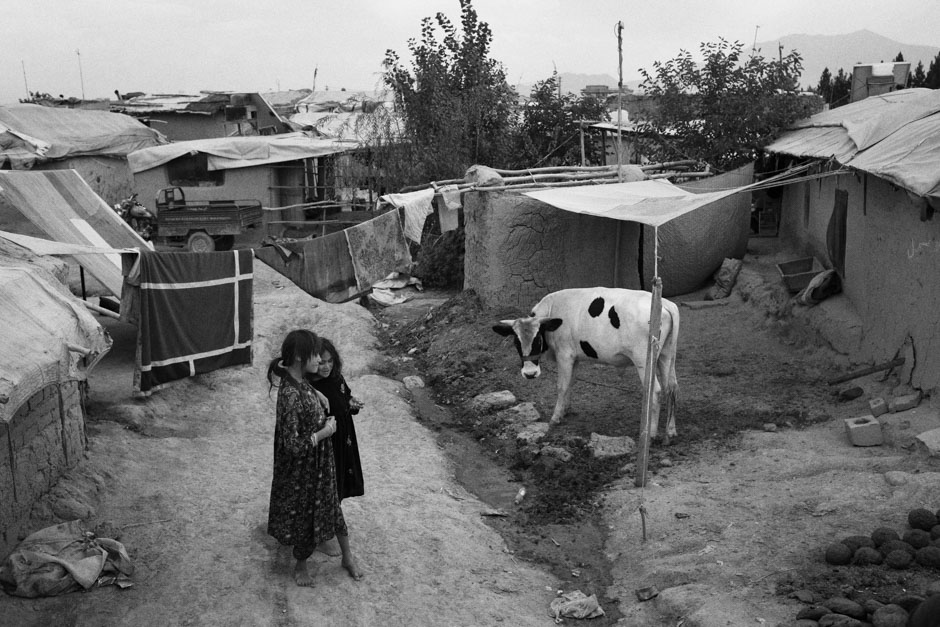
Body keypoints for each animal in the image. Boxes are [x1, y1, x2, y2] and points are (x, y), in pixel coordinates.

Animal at [496, 288, 680, 442]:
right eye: (516, 342)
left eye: (538, 339)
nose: (530, 373)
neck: (552, 310)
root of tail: (666, 304)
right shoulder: (574, 357)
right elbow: (570, 383)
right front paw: (565, 409)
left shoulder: (565, 355)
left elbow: (562, 386)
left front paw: (555, 417)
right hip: (666, 355)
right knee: (671, 388)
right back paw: (670, 431)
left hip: (644, 360)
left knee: (655, 391)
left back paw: (651, 435)